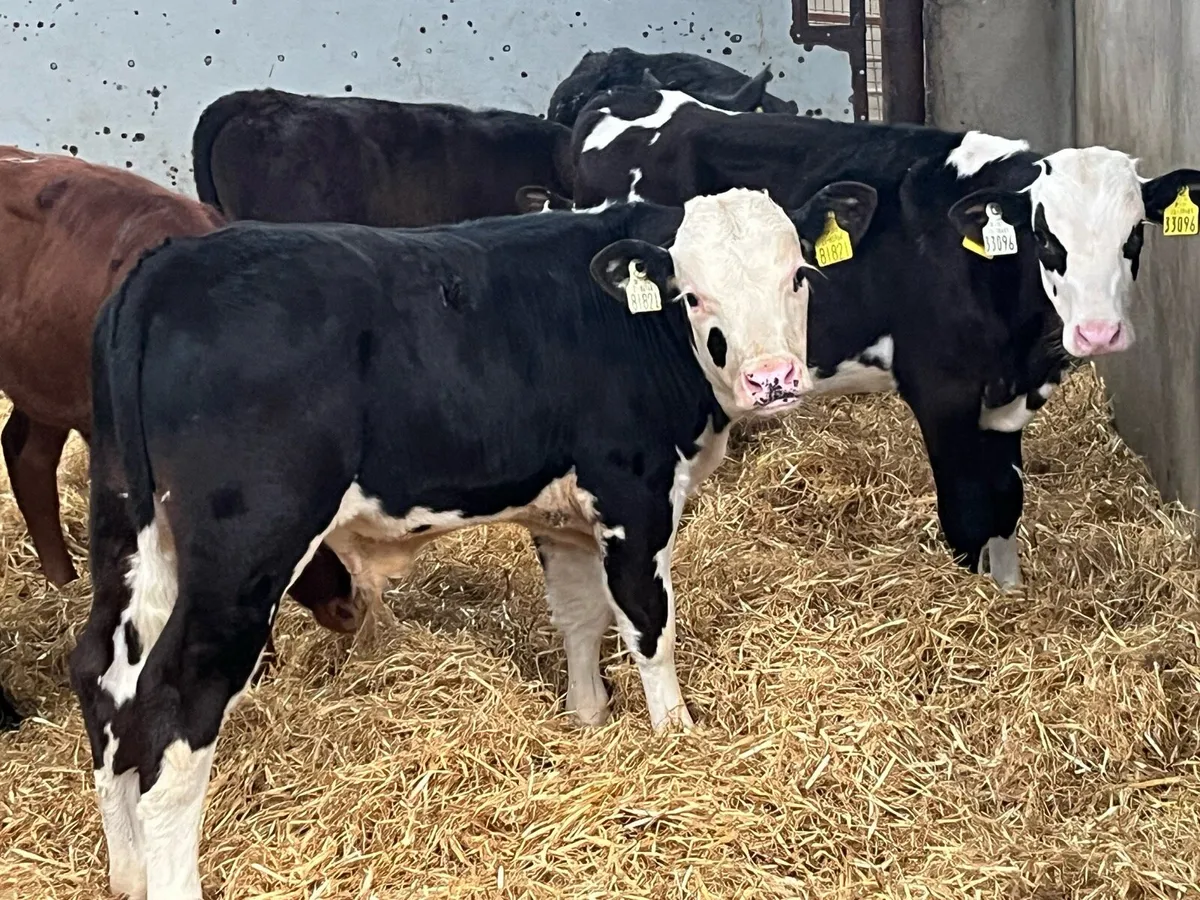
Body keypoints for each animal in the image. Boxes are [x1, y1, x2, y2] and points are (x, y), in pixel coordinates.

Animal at [69, 184, 877, 899]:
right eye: (693, 296)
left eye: (797, 275)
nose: (772, 379)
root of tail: (167, 267)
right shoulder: (634, 495)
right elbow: (649, 625)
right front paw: (675, 736)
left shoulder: (562, 515)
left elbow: (578, 618)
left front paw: (587, 721)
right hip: (244, 556)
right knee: (175, 701)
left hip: (130, 531)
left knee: (103, 673)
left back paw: (127, 873)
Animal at [556, 85, 1200, 588]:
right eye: (1045, 238)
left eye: (1134, 235)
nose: (1098, 333)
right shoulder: (942, 392)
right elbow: (970, 511)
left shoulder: (1005, 399)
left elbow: (1006, 502)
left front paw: (1010, 592)